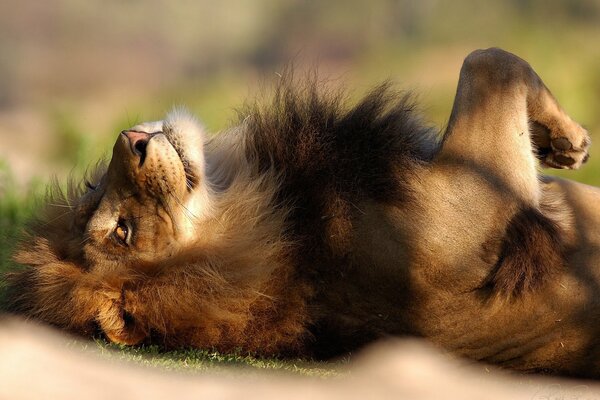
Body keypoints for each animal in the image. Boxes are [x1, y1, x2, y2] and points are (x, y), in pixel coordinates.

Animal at [2, 48, 596, 376]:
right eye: (121, 233)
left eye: (92, 187)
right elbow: (490, 62)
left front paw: (557, 145)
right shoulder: (484, 194)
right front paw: (568, 139)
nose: (131, 138)